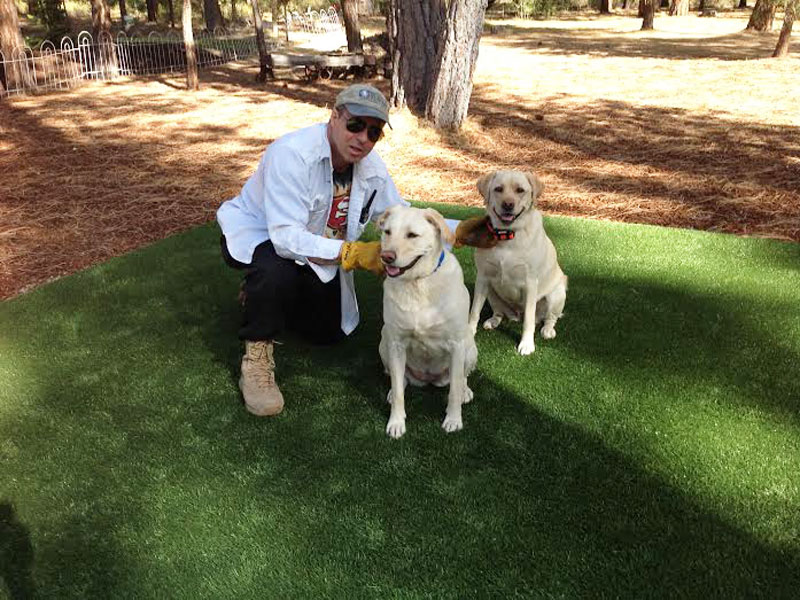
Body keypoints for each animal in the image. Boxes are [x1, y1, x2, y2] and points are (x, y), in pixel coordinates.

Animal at [378, 206, 478, 439]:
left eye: (412, 235)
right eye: (387, 232)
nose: (386, 257)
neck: (418, 283)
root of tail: (429, 379)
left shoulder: (457, 345)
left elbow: (454, 390)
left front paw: (453, 420)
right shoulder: (396, 344)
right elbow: (399, 391)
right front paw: (396, 422)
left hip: (470, 348)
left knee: (461, 378)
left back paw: (466, 391)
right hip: (384, 343)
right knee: (399, 379)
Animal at [468, 170, 567, 356]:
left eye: (520, 190)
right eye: (498, 189)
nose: (508, 204)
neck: (507, 236)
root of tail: (516, 314)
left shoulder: (530, 283)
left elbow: (528, 320)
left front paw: (526, 344)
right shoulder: (483, 277)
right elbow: (474, 310)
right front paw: (469, 332)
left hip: (556, 294)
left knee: (550, 318)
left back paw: (548, 330)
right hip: (492, 292)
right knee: (499, 312)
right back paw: (493, 321)